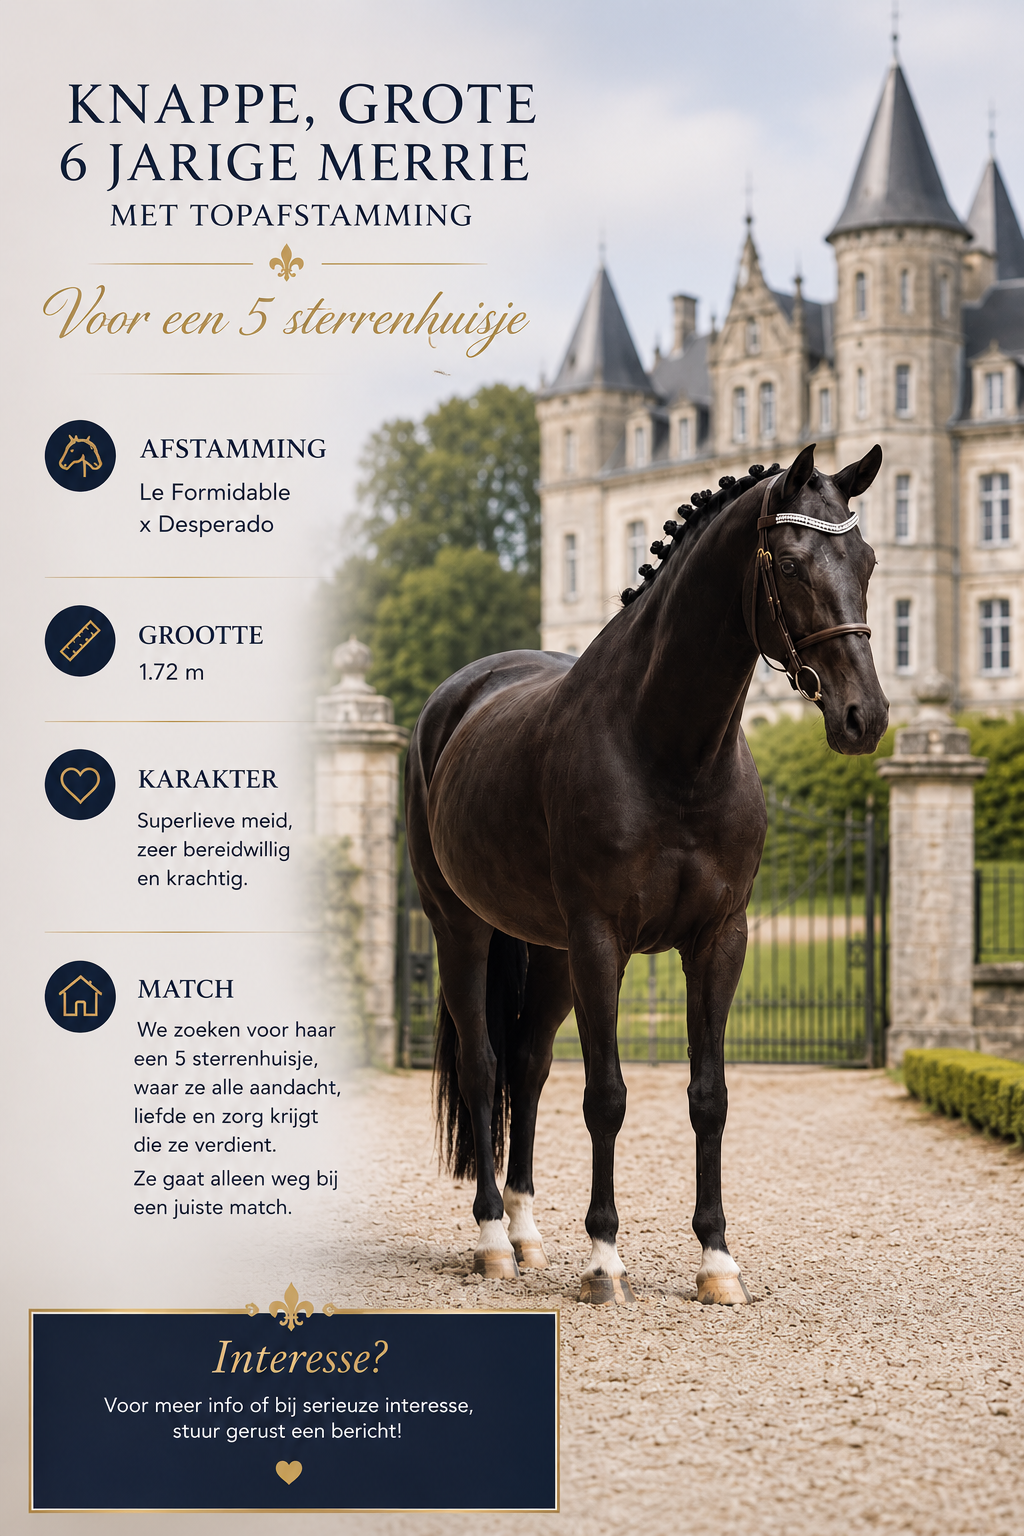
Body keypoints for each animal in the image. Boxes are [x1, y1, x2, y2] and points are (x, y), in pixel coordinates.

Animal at [405, 442, 887, 1306]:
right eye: (790, 562)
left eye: (865, 561)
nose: (863, 716)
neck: (670, 750)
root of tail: (451, 702)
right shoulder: (602, 940)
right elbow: (607, 1096)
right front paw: (604, 1259)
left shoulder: (719, 940)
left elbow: (708, 1097)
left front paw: (717, 1260)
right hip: (461, 927)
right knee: (486, 1065)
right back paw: (493, 1238)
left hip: (548, 952)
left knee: (527, 1068)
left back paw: (528, 1234)